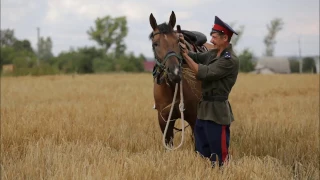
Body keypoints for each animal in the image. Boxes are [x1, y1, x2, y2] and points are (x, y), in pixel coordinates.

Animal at [150, 10, 215, 148]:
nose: (174, 72)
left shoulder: (194, 117)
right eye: (155, 44)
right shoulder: (164, 120)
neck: (171, 88)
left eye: (177, 41)